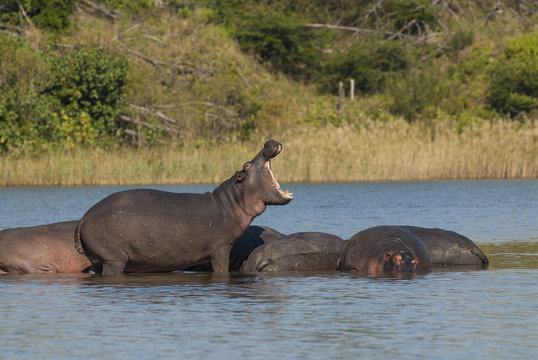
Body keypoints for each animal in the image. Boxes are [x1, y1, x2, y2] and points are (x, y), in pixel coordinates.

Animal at [74, 139, 292, 274]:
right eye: (246, 165)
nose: (267, 142)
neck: (231, 201)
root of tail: (84, 217)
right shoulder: (221, 248)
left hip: (97, 259)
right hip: (114, 259)